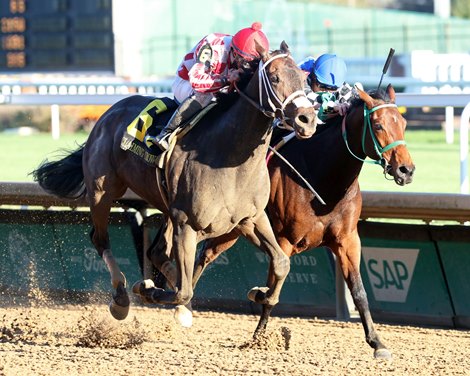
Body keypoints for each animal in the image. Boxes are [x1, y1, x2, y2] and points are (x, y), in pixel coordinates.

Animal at [31, 41, 318, 324]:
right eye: (275, 77)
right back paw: (122, 298)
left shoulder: (250, 219)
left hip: (166, 206)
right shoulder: (187, 223)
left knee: (156, 252)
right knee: (101, 240)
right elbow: (182, 290)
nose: (307, 120)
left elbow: (281, 263)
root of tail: (107, 114)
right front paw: (149, 291)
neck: (229, 157)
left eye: (302, 78)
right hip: (103, 191)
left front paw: (262, 294)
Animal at [182, 84, 414, 358]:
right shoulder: (285, 239)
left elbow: (359, 291)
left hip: (231, 230)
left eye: (403, 123)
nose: (406, 170)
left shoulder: (347, 240)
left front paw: (377, 342)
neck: (323, 180)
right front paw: (259, 334)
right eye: (378, 125)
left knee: (204, 255)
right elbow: (273, 286)